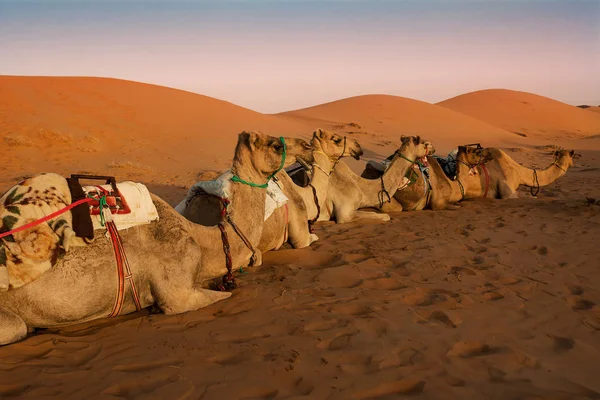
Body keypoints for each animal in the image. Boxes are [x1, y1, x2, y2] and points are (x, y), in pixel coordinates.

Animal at [0, 132, 304, 346]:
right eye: (275, 145)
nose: (304, 144)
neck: (201, 239)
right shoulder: (178, 292)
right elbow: (215, 296)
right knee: (18, 327)